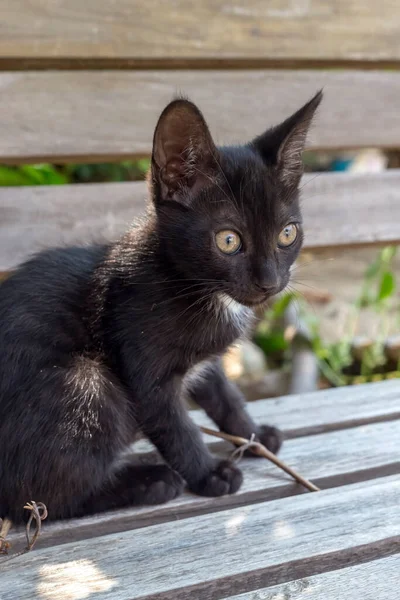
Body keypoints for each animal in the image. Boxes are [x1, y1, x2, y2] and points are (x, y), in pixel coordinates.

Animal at [0, 91, 320, 524]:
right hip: (88, 383)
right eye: (228, 241)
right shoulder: (143, 367)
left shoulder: (207, 362)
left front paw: (253, 435)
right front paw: (210, 474)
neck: (190, 284)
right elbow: (176, 427)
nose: (269, 282)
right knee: (35, 498)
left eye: (287, 233)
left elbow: (225, 396)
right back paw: (150, 482)